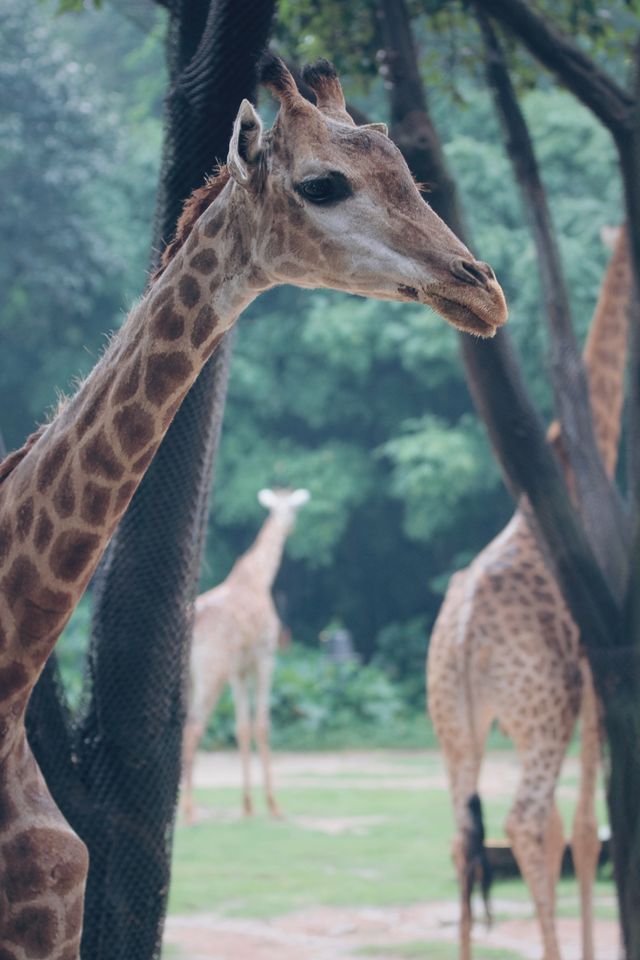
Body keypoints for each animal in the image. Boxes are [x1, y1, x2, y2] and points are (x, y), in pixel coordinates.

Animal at [181, 488, 312, 824]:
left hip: (190, 677)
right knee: (193, 727)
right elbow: (262, 725)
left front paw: (247, 806)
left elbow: (242, 727)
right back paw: (189, 811)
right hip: (211, 672)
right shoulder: (264, 659)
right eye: (292, 508)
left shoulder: (238, 670)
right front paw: (274, 806)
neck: (260, 578)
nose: (290, 527)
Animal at [428, 227, 632, 960]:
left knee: (463, 838)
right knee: (524, 821)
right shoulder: (599, 683)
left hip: (455, 726)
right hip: (540, 715)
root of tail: (462, 640)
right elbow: (584, 829)